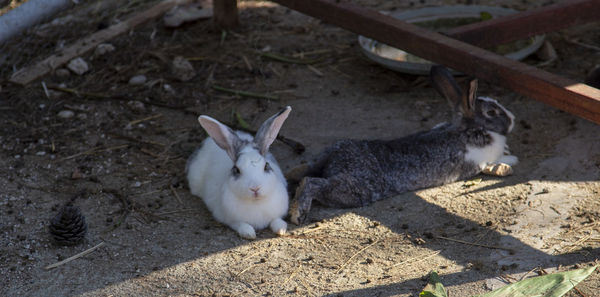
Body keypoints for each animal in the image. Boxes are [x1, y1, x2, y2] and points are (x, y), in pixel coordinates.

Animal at [186, 106, 292, 238]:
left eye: (266, 166)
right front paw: (249, 234)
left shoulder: (277, 214)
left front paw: (281, 230)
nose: (255, 188)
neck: (256, 203)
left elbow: (277, 220)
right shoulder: (231, 220)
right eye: (237, 170)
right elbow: (241, 225)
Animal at [290, 64, 516, 222]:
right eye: (491, 112)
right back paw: (298, 213)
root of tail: (337, 155)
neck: (466, 130)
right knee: (312, 182)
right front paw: (511, 158)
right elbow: (496, 162)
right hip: (355, 190)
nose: (513, 119)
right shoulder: (481, 159)